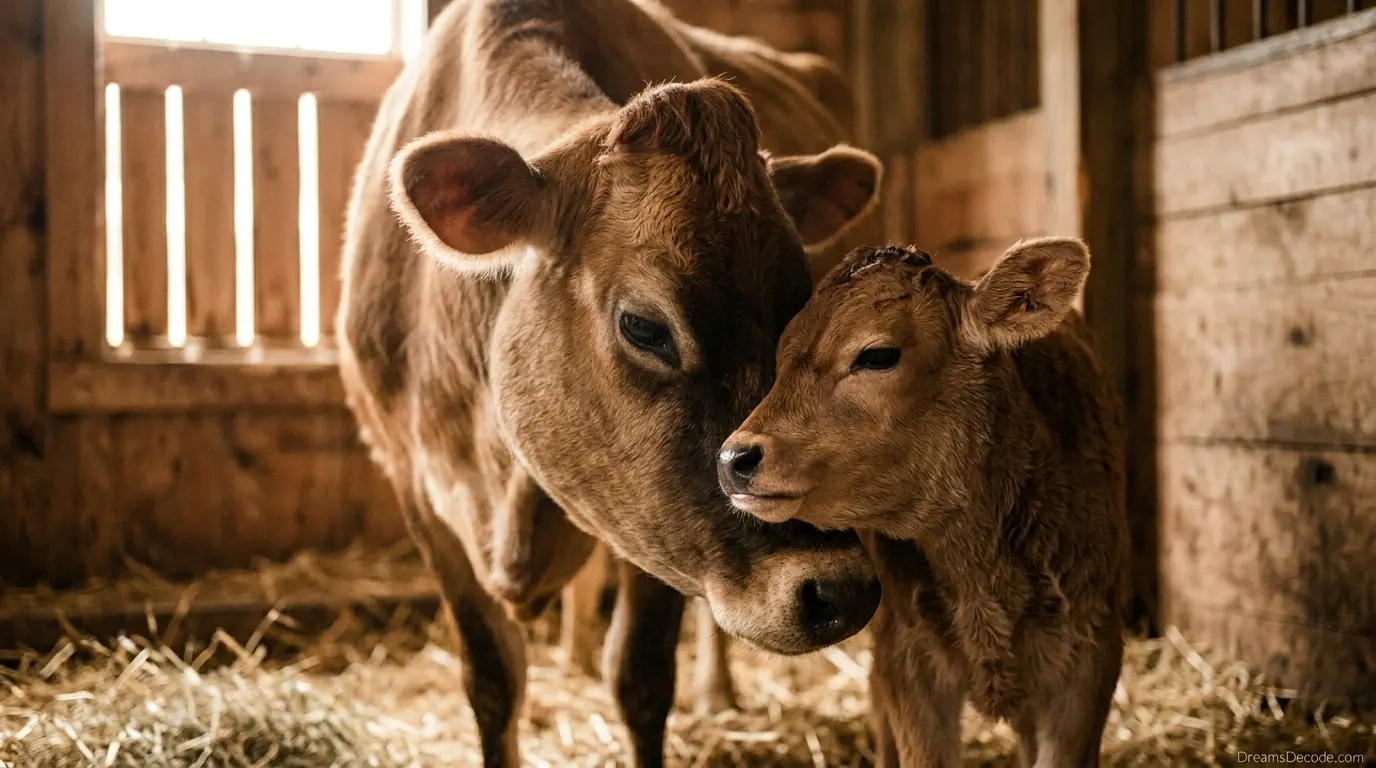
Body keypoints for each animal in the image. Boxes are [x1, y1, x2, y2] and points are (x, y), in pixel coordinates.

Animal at [335, 0, 887, 765]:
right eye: (644, 327)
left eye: (800, 312)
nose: (839, 590)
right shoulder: (415, 487)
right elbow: (491, 682)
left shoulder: (655, 531)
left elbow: (640, 681)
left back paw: (719, 692)